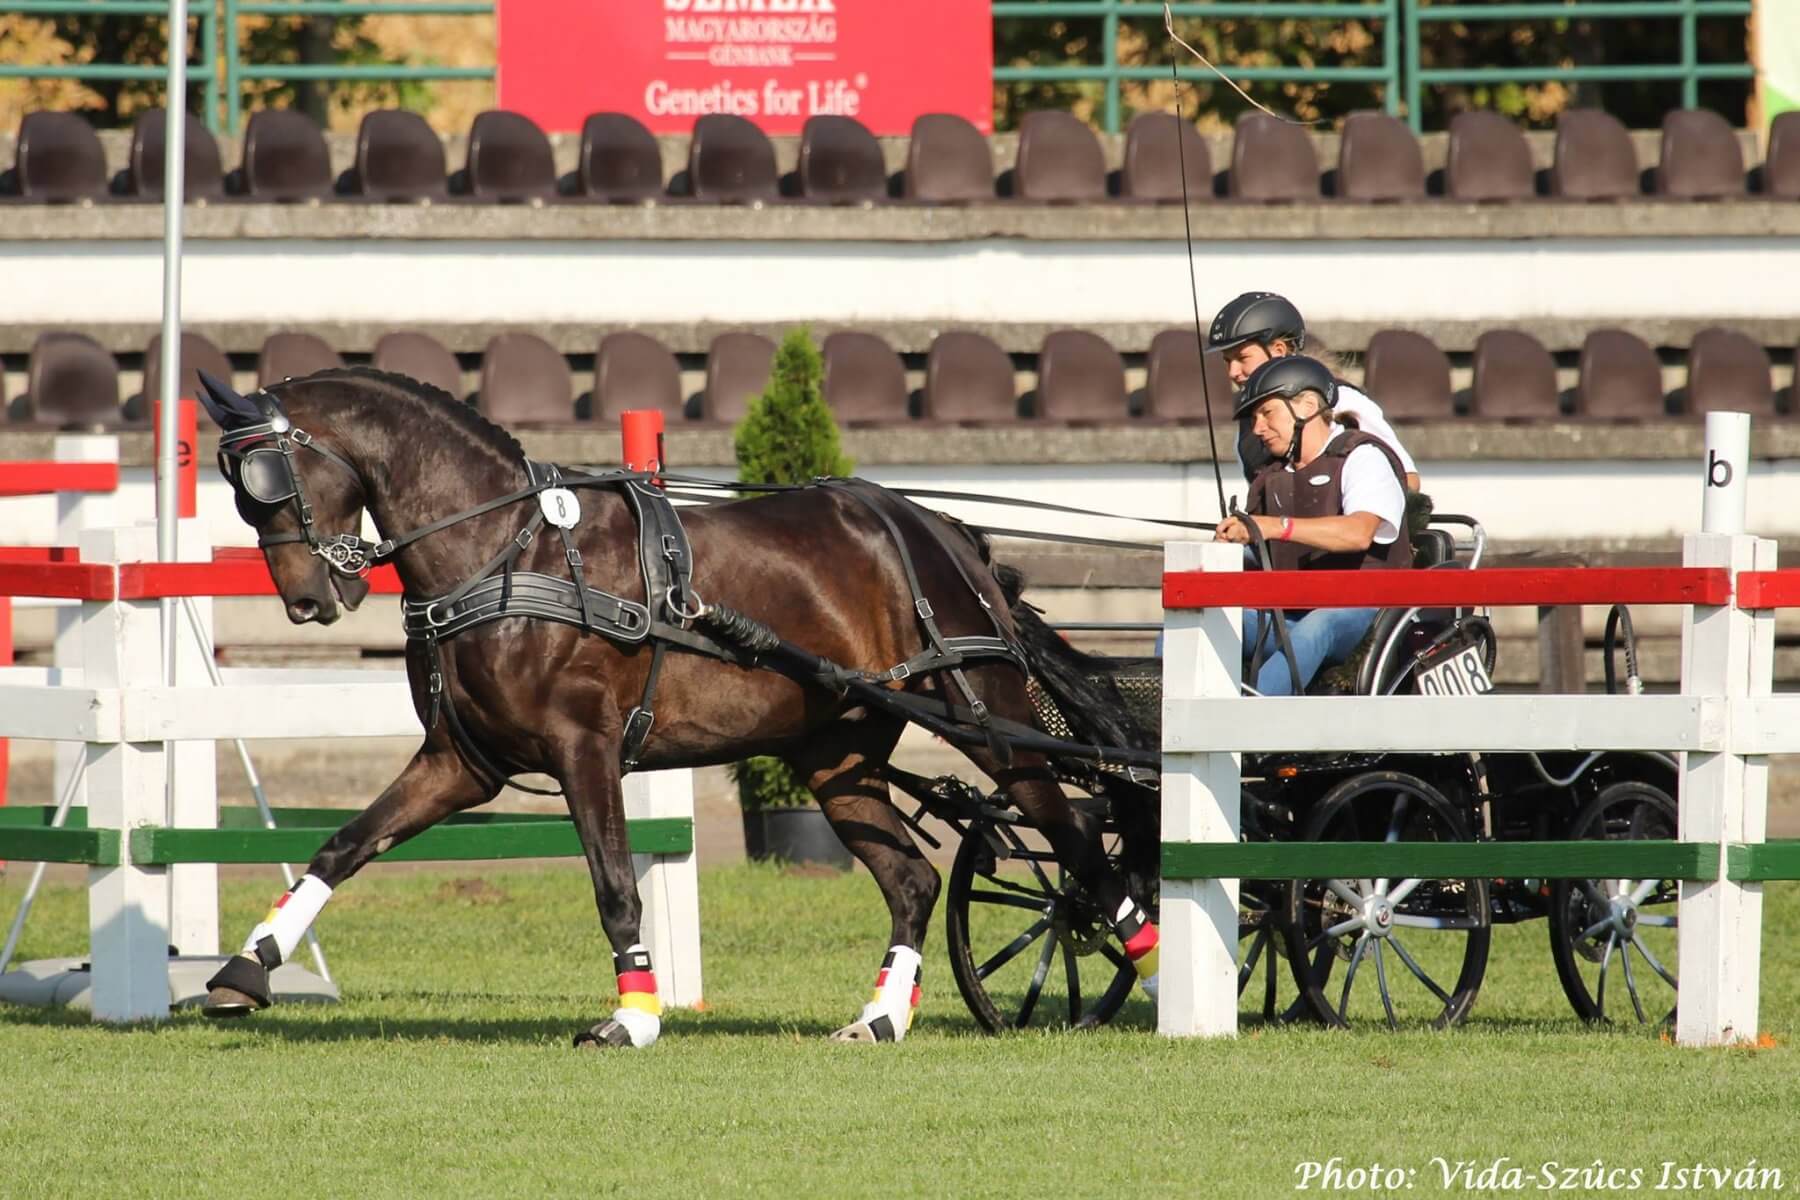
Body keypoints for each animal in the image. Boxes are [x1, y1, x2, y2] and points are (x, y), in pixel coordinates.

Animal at [193, 368, 1152, 1050]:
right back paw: (881, 1017)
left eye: (269, 475)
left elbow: (616, 885)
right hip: (835, 754)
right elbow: (346, 843)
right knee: (914, 880)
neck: (507, 552)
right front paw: (247, 967)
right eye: (232, 481)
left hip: (984, 718)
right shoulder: (463, 763)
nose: (307, 600)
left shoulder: (582, 749)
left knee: (1064, 825)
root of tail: (939, 528)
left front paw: (635, 1015)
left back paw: (1136, 941)